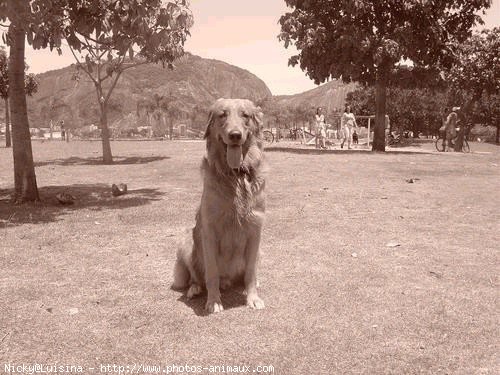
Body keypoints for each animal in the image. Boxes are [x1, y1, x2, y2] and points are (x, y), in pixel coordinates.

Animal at [172, 97, 266, 314]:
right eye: (222, 115)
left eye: (245, 115)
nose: (235, 135)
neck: (236, 176)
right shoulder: (209, 230)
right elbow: (212, 272)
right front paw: (214, 301)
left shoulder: (255, 227)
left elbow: (251, 272)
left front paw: (253, 298)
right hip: (186, 242)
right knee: (195, 277)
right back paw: (195, 289)